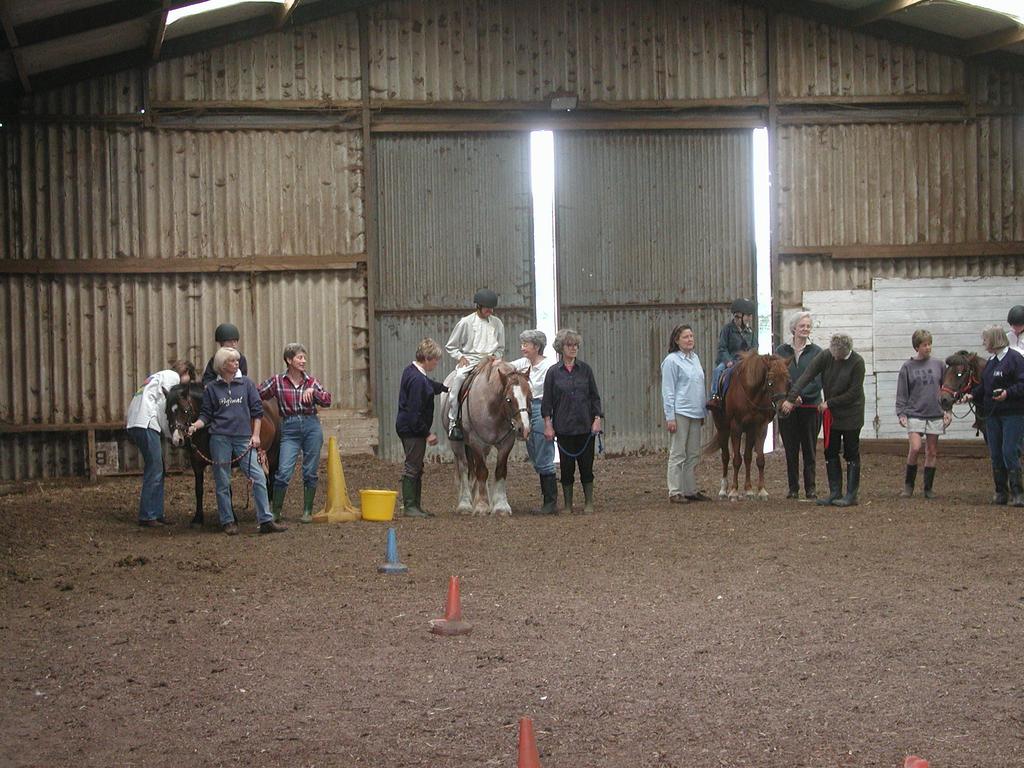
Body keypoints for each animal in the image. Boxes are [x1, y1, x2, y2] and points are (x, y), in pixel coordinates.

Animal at [165, 385, 282, 528]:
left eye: (185, 410)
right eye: (167, 412)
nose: (177, 440)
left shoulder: (223, 462)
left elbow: (227, 488)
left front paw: (233, 518)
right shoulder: (196, 464)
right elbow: (198, 490)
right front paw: (198, 519)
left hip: (272, 455)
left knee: (271, 478)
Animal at [440, 360, 532, 518]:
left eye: (530, 397)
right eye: (508, 399)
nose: (524, 429)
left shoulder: (506, 443)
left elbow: (500, 471)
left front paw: (500, 506)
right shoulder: (477, 442)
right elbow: (482, 471)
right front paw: (482, 506)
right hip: (457, 444)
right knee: (464, 468)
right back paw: (465, 504)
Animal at [704, 354, 790, 501]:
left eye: (787, 381)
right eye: (770, 382)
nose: (782, 409)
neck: (751, 393)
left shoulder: (760, 428)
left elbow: (759, 459)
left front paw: (761, 491)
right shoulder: (736, 428)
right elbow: (736, 460)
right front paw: (734, 491)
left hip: (749, 432)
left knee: (748, 458)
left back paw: (749, 490)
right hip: (722, 429)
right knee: (725, 457)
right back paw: (723, 490)